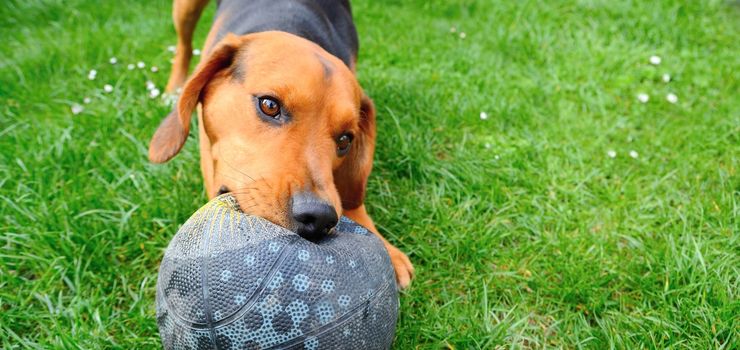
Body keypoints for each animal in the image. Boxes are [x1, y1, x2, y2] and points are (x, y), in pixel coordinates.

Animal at [147, 0, 414, 288]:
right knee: (184, 46)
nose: (319, 217)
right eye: (269, 105)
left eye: (345, 139)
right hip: (185, 10)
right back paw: (173, 87)